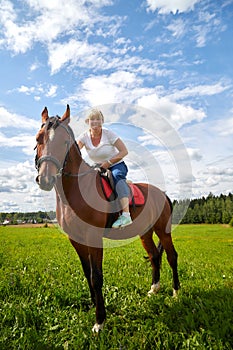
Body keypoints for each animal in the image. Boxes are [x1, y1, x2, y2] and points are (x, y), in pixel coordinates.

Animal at [35, 104, 180, 330]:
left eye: (65, 142)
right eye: (38, 138)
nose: (46, 179)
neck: (76, 191)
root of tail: (162, 193)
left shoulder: (94, 238)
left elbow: (96, 277)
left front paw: (100, 320)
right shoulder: (76, 240)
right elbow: (87, 273)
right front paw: (94, 304)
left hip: (162, 230)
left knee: (172, 256)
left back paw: (175, 292)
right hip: (145, 233)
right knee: (155, 256)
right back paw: (154, 289)